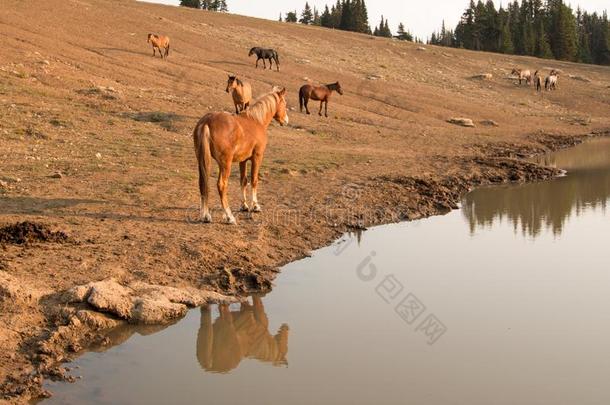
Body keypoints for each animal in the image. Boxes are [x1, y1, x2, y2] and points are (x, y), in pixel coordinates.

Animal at [191, 87, 288, 224]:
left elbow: (243, 180)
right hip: (225, 164)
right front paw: (255, 206)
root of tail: (206, 122)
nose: (286, 120)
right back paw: (229, 217)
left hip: (202, 160)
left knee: (202, 183)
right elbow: (254, 180)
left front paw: (244, 205)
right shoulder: (257, 157)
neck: (256, 121)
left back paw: (205, 215)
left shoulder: (243, 160)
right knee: (221, 185)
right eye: (284, 103)